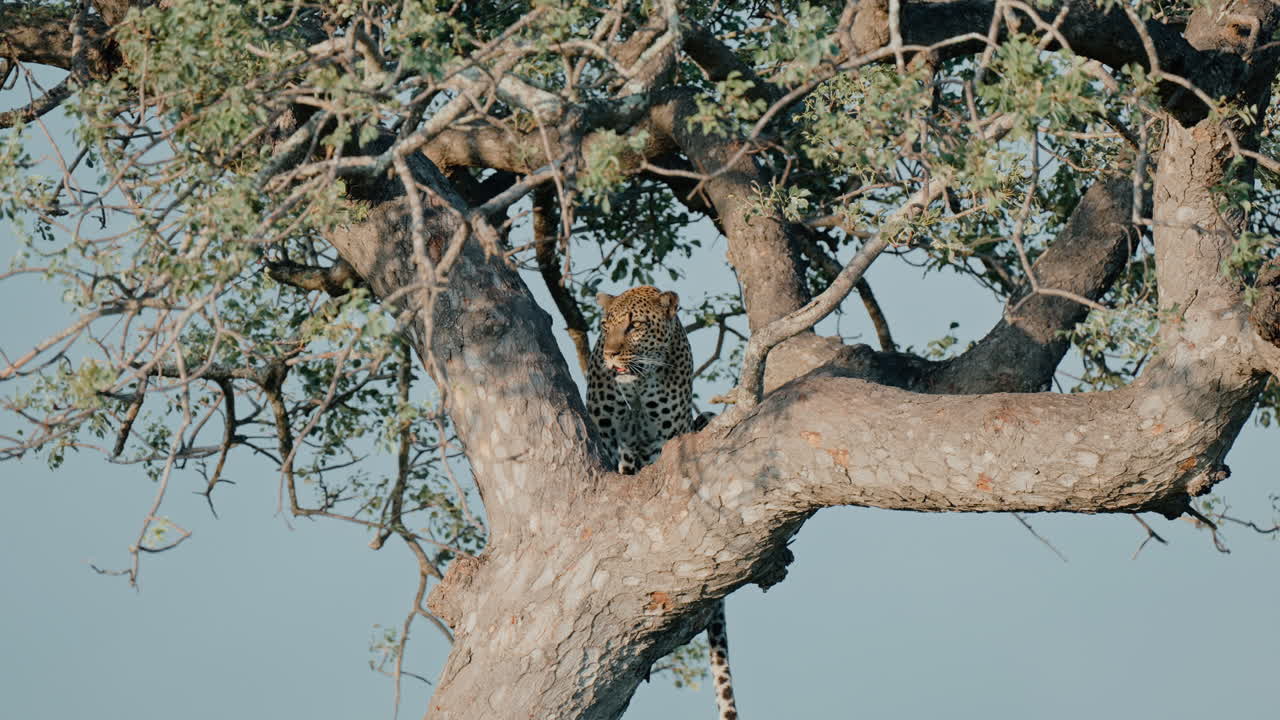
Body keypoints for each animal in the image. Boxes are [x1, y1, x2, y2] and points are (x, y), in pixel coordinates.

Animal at [586, 285, 739, 720]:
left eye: (634, 326)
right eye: (606, 325)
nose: (611, 355)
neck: (638, 385)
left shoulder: (663, 439)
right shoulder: (610, 435)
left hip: (702, 421)